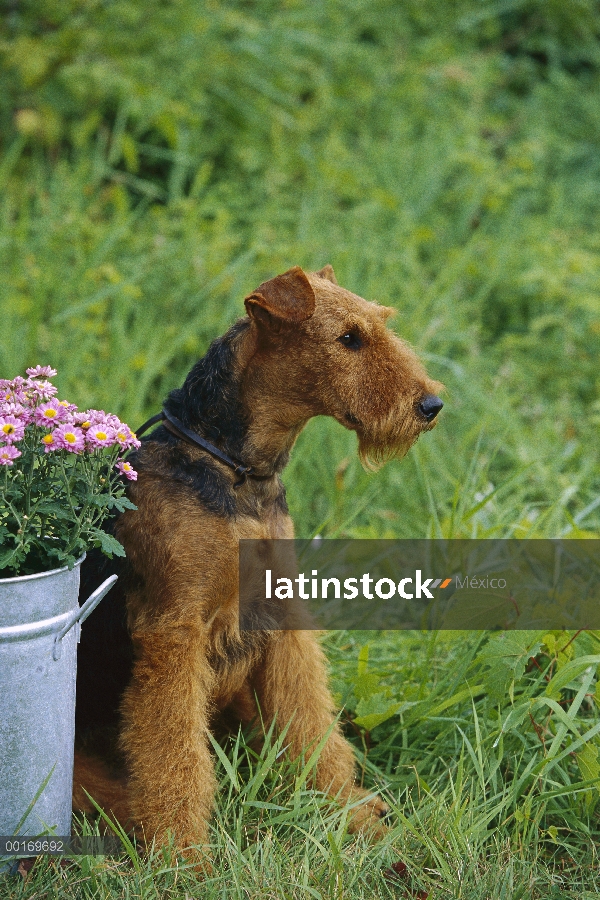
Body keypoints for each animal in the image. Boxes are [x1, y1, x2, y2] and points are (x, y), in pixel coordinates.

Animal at [72, 266, 442, 856]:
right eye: (349, 338)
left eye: (381, 326)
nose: (430, 406)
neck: (236, 469)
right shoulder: (173, 632)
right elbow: (176, 755)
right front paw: (185, 857)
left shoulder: (282, 614)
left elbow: (313, 724)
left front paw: (352, 820)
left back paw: (370, 802)